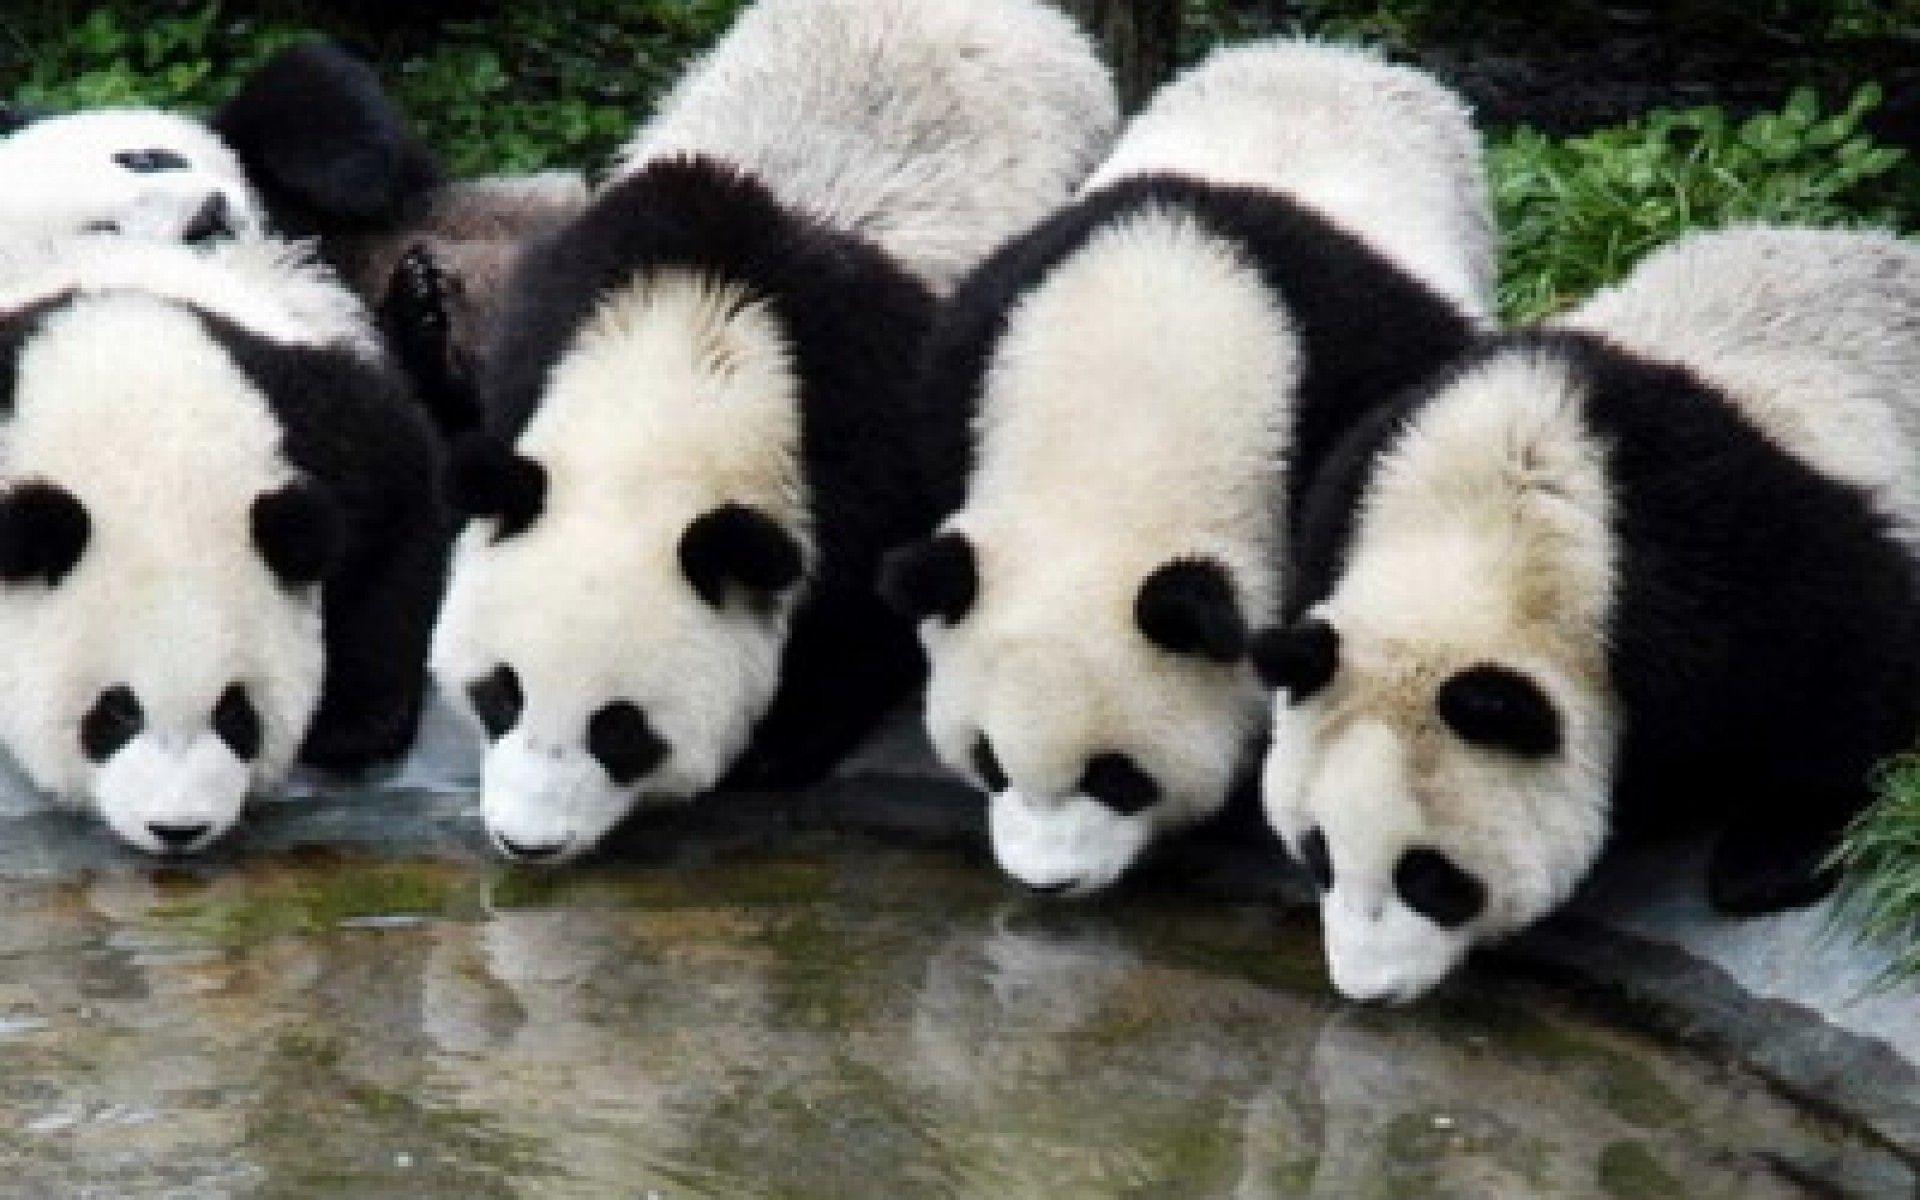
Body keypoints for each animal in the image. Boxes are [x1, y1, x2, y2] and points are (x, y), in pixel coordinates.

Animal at [0, 232, 447, 857]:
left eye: (236, 712)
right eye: (115, 711)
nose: (178, 828)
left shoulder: (316, 425)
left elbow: (398, 509)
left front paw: (350, 724)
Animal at [430, 0, 1119, 863]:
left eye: (619, 730)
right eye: (501, 693)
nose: (528, 842)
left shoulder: (865, 424)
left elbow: (866, 607)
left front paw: (777, 743)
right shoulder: (553, 319)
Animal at [1255, 226, 1920, 1003]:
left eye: (1430, 876)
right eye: (1318, 853)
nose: (1369, 988)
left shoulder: (1725, 556)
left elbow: (1845, 660)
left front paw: (1776, 851)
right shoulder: (1361, 484)